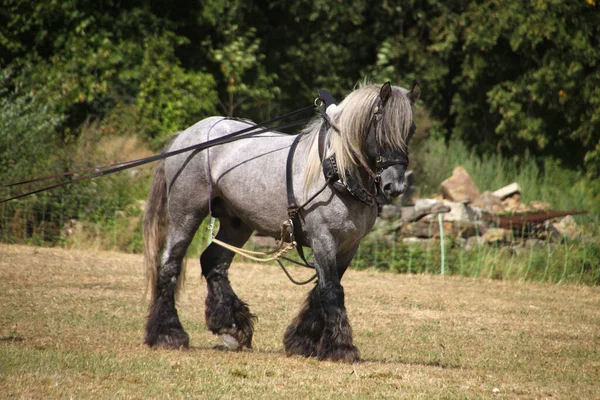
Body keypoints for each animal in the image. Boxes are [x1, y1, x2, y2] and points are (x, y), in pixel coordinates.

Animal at [143, 81, 420, 362]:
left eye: (411, 129)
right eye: (381, 127)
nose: (395, 186)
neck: (336, 170)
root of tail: (186, 136)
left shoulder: (349, 245)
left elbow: (322, 290)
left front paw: (302, 341)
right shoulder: (323, 239)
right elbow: (331, 290)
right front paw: (341, 347)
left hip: (237, 223)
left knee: (214, 262)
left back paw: (230, 326)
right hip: (186, 215)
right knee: (169, 265)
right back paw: (168, 333)